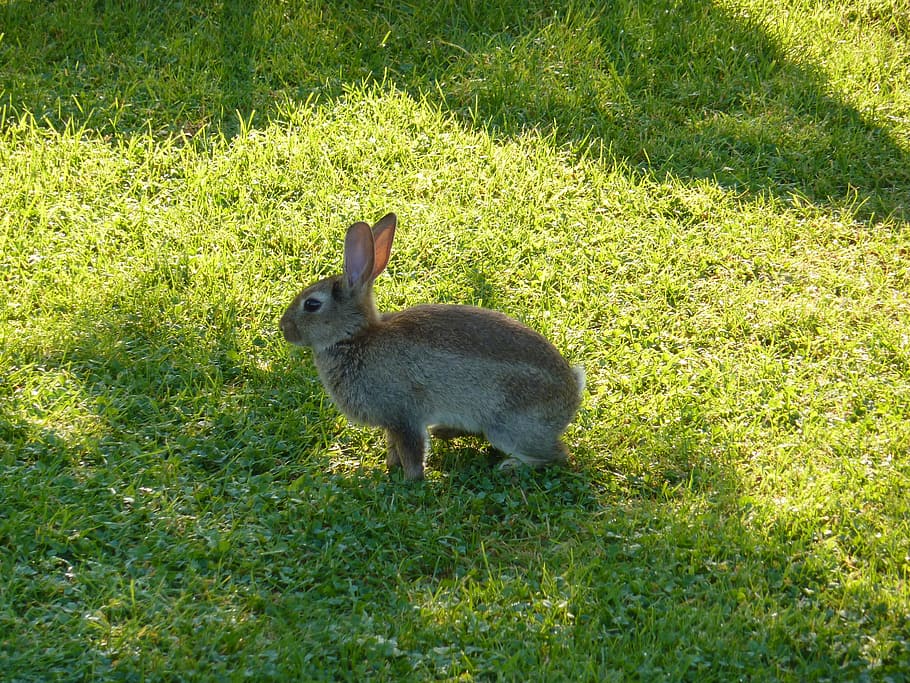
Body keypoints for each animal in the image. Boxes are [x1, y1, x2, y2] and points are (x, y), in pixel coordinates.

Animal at [279, 212, 585, 481]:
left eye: (312, 305)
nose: (284, 329)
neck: (354, 337)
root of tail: (572, 393)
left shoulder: (404, 416)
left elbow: (411, 450)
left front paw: (409, 480)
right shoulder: (392, 422)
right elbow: (393, 447)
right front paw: (391, 468)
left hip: (508, 427)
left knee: (557, 455)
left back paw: (510, 467)